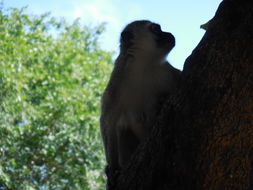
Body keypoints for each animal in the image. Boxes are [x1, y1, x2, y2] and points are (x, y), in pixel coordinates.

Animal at [100, 20, 181, 171]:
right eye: (156, 29)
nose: (169, 34)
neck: (144, 66)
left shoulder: (168, 72)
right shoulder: (117, 82)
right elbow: (108, 120)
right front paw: (112, 167)